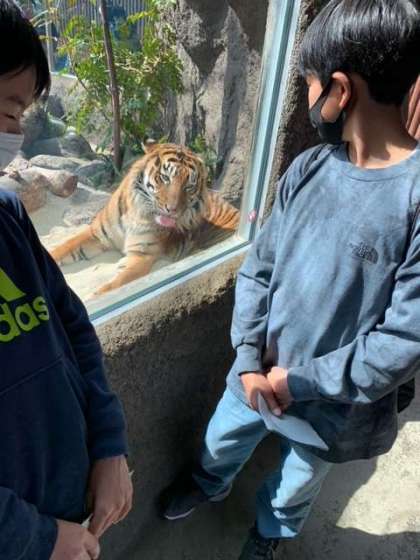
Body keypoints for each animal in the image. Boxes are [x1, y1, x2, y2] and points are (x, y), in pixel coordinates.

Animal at [50, 141, 240, 296]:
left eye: (189, 186)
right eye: (165, 178)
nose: (173, 210)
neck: (137, 213)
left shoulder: (143, 255)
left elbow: (115, 285)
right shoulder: (96, 234)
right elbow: (64, 247)